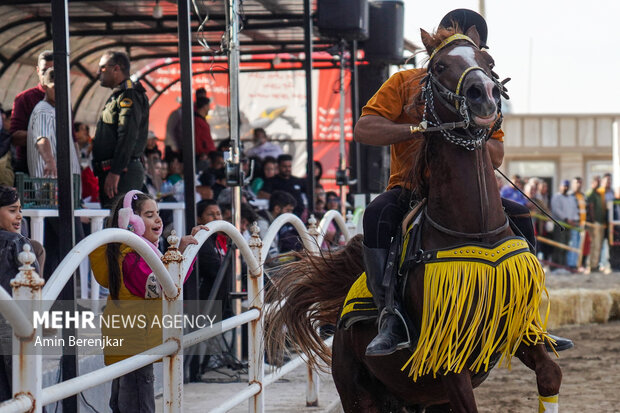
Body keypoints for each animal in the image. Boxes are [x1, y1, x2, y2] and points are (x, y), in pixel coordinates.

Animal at [264, 26, 564, 412]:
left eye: (488, 61)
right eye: (439, 67)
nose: (484, 94)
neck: (475, 230)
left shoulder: (516, 330)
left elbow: (550, 373)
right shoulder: (448, 361)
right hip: (359, 393)